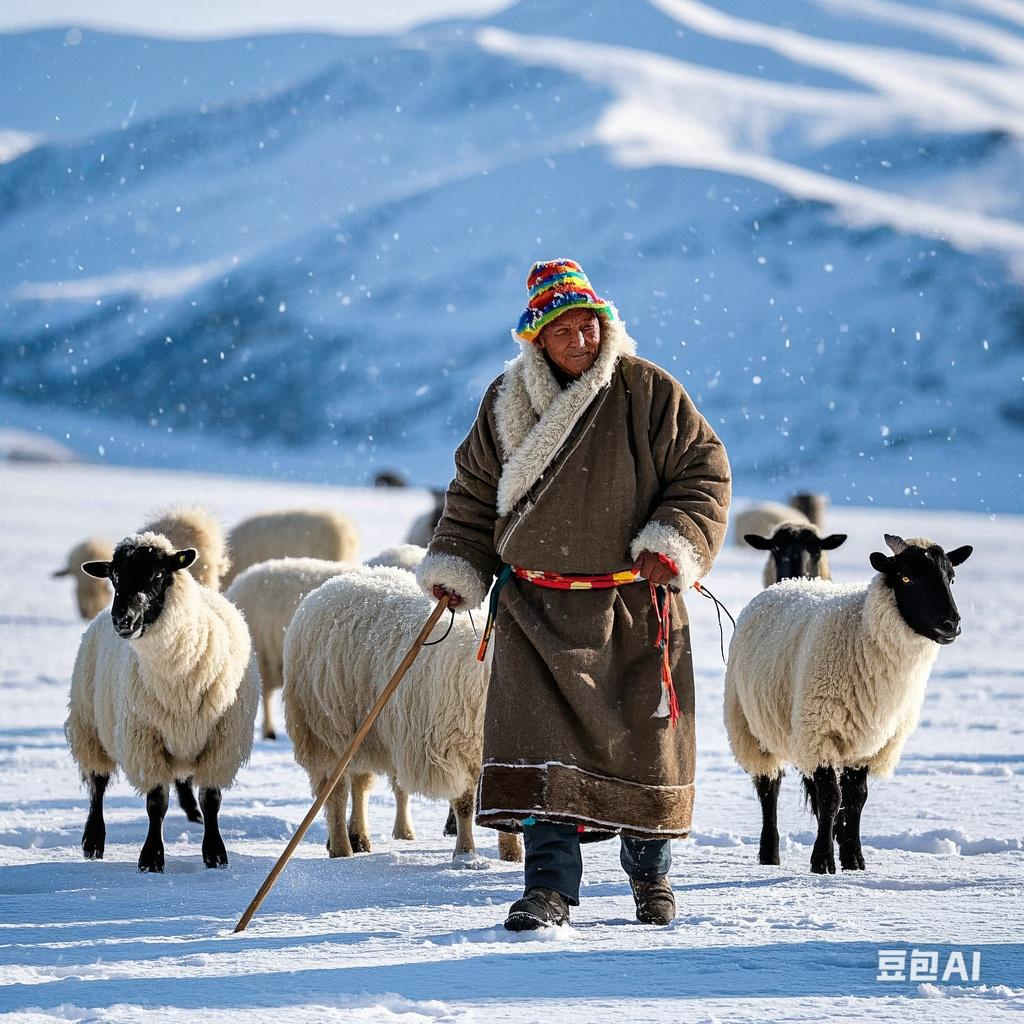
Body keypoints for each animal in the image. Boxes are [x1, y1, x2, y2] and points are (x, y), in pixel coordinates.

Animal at [66, 528, 260, 872]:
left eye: (158, 574)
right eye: (114, 577)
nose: (123, 620)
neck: (177, 675)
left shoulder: (223, 741)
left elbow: (212, 800)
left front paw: (215, 854)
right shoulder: (144, 739)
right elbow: (156, 803)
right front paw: (151, 858)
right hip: (89, 725)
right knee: (97, 785)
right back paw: (93, 841)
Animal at [284, 569, 524, 864]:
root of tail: (327, 586)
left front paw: (512, 855)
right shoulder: (451, 749)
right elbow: (464, 805)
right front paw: (465, 854)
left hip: (365, 733)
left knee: (359, 784)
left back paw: (358, 837)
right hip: (326, 730)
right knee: (336, 793)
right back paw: (342, 847)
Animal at [724, 532, 970, 876]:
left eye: (951, 577)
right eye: (906, 578)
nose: (952, 624)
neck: (861, 632)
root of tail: (787, 583)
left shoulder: (869, 743)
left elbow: (856, 799)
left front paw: (854, 859)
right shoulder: (820, 732)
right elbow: (831, 798)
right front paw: (822, 862)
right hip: (750, 727)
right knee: (769, 790)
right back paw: (769, 855)